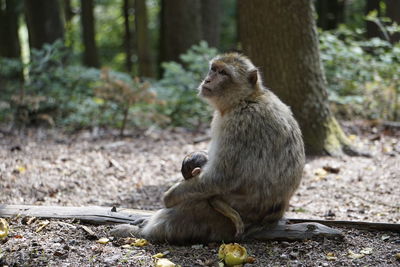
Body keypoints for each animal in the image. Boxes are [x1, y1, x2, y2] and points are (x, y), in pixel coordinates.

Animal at [111, 52, 304, 245]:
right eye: (213, 69)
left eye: (223, 73)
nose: (208, 80)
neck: (243, 99)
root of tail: (270, 220)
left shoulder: (242, 123)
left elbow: (222, 177)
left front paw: (169, 196)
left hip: (220, 218)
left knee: (193, 204)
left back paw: (141, 233)